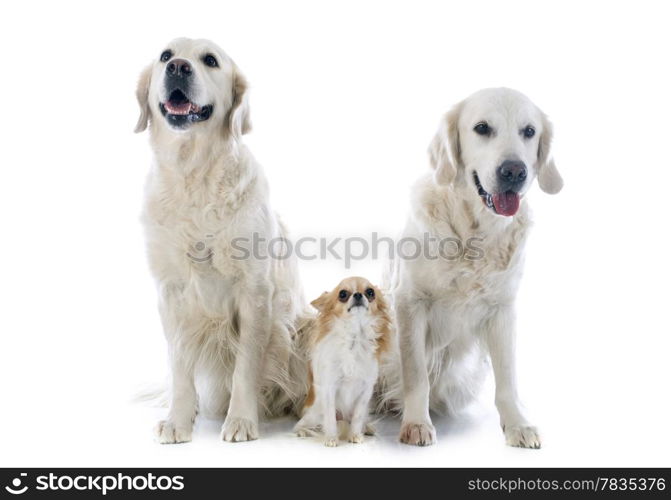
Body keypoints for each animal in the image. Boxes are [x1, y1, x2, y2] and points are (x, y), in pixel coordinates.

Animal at [135, 40, 308, 446]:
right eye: (166, 56)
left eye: (210, 60)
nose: (179, 68)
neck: (193, 173)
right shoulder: (170, 292)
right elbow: (180, 367)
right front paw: (179, 422)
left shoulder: (255, 291)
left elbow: (246, 365)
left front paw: (242, 421)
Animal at [296, 278, 394, 446]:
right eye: (342, 294)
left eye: (370, 292)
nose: (358, 294)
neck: (354, 338)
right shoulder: (330, 388)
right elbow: (329, 417)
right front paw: (331, 438)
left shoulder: (365, 391)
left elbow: (357, 417)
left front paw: (355, 435)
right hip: (315, 413)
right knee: (300, 424)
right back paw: (302, 431)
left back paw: (366, 428)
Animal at [386, 88, 564, 448]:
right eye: (482, 128)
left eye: (529, 131)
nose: (514, 171)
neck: (474, 233)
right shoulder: (410, 302)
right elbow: (416, 374)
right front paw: (416, 423)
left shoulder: (503, 309)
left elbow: (507, 377)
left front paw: (518, 424)